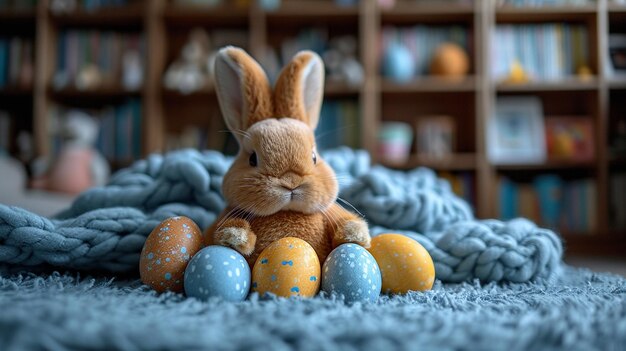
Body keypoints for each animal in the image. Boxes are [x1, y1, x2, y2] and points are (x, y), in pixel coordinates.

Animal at [205, 47, 370, 266]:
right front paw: (235, 236)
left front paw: (355, 234)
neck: (287, 211)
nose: (291, 182)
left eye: (314, 157)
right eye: (252, 159)